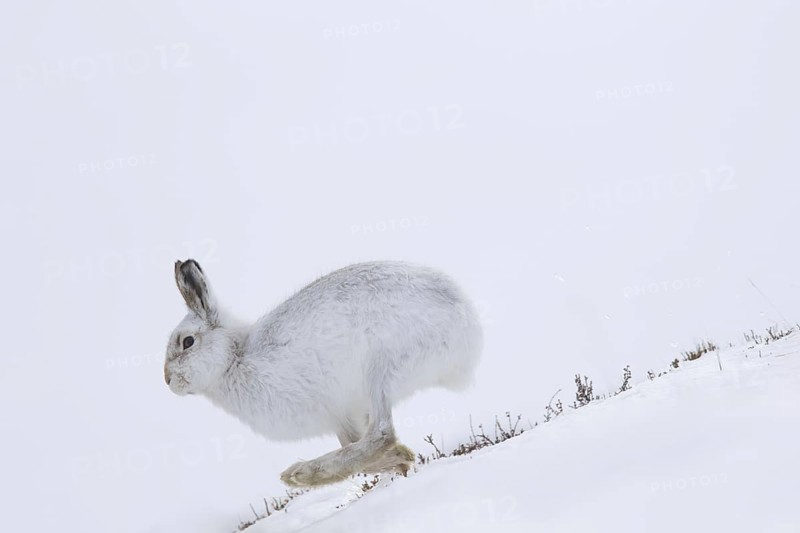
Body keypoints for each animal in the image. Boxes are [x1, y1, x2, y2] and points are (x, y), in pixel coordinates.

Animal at [164, 259, 483, 487]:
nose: (167, 381)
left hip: (381, 369)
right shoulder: (341, 418)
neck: (234, 357)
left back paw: (300, 474)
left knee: (382, 432)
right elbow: (351, 444)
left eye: (187, 342)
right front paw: (401, 460)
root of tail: (465, 321)